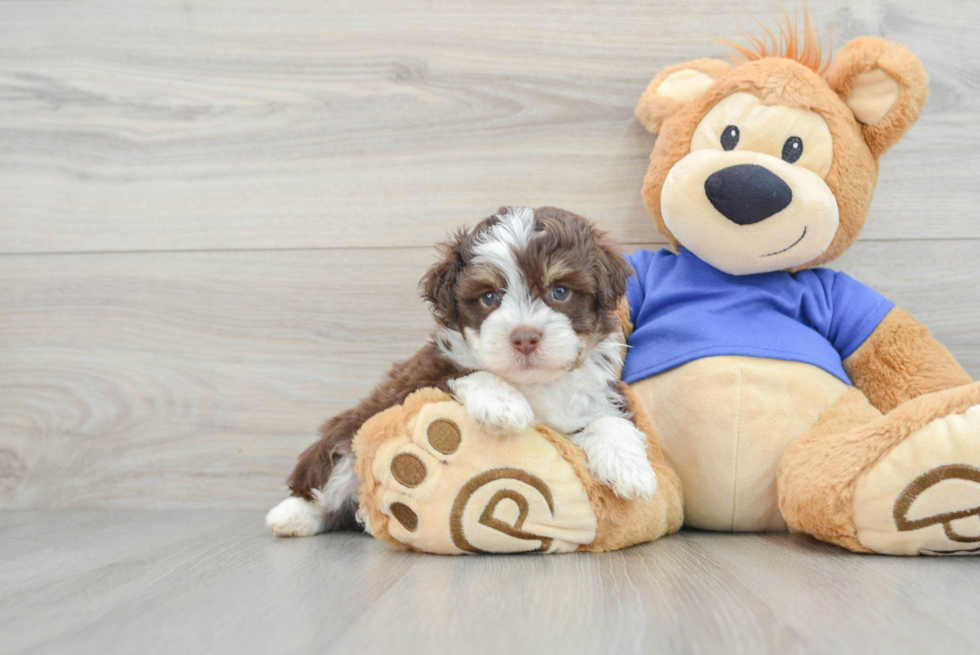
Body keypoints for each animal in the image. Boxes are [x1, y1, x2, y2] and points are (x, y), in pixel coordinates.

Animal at [266, 206, 660, 540]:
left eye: (560, 291)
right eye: (489, 298)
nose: (525, 337)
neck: (534, 383)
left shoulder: (600, 391)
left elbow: (609, 419)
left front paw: (631, 469)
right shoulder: (415, 381)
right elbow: (464, 374)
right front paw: (504, 405)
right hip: (346, 436)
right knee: (326, 482)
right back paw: (292, 516)